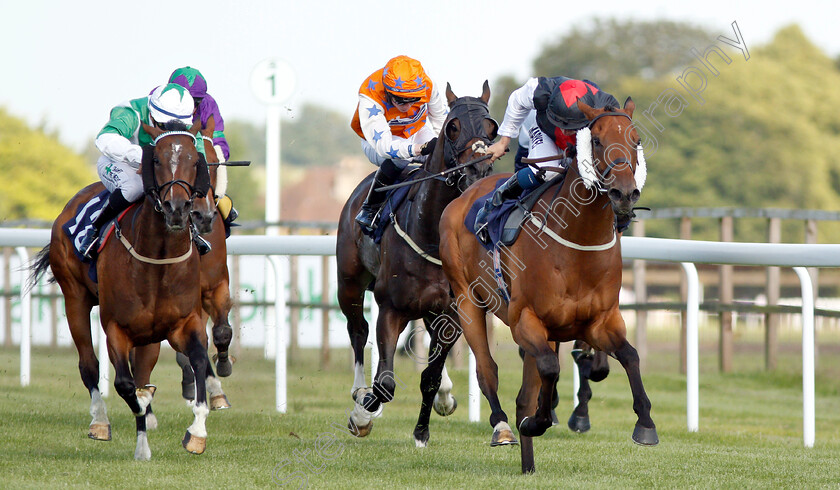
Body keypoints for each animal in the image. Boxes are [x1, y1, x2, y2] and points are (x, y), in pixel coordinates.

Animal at [30, 121, 217, 460]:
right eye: (155, 159)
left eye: (195, 161)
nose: (177, 208)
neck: (157, 259)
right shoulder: (116, 327)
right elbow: (125, 385)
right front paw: (141, 421)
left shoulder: (186, 323)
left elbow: (198, 361)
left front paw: (196, 432)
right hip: (74, 298)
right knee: (89, 365)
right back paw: (100, 422)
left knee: (142, 367)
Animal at [336, 81, 498, 448]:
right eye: (453, 127)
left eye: (491, 127)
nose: (478, 170)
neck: (430, 236)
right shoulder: (390, 308)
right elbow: (385, 382)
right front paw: (362, 414)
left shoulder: (452, 311)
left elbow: (430, 378)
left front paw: (422, 431)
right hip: (348, 282)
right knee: (357, 331)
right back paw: (358, 393)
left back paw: (446, 396)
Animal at [440, 98, 656, 470]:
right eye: (596, 140)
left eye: (636, 139)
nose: (624, 193)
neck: (578, 242)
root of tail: (465, 195)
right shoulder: (525, 320)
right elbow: (550, 369)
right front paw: (537, 422)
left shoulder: (600, 321)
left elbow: (630, 356)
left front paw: (645, 424)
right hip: (467, 301)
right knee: (487, 370)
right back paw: (502, 428)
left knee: (524, 393)